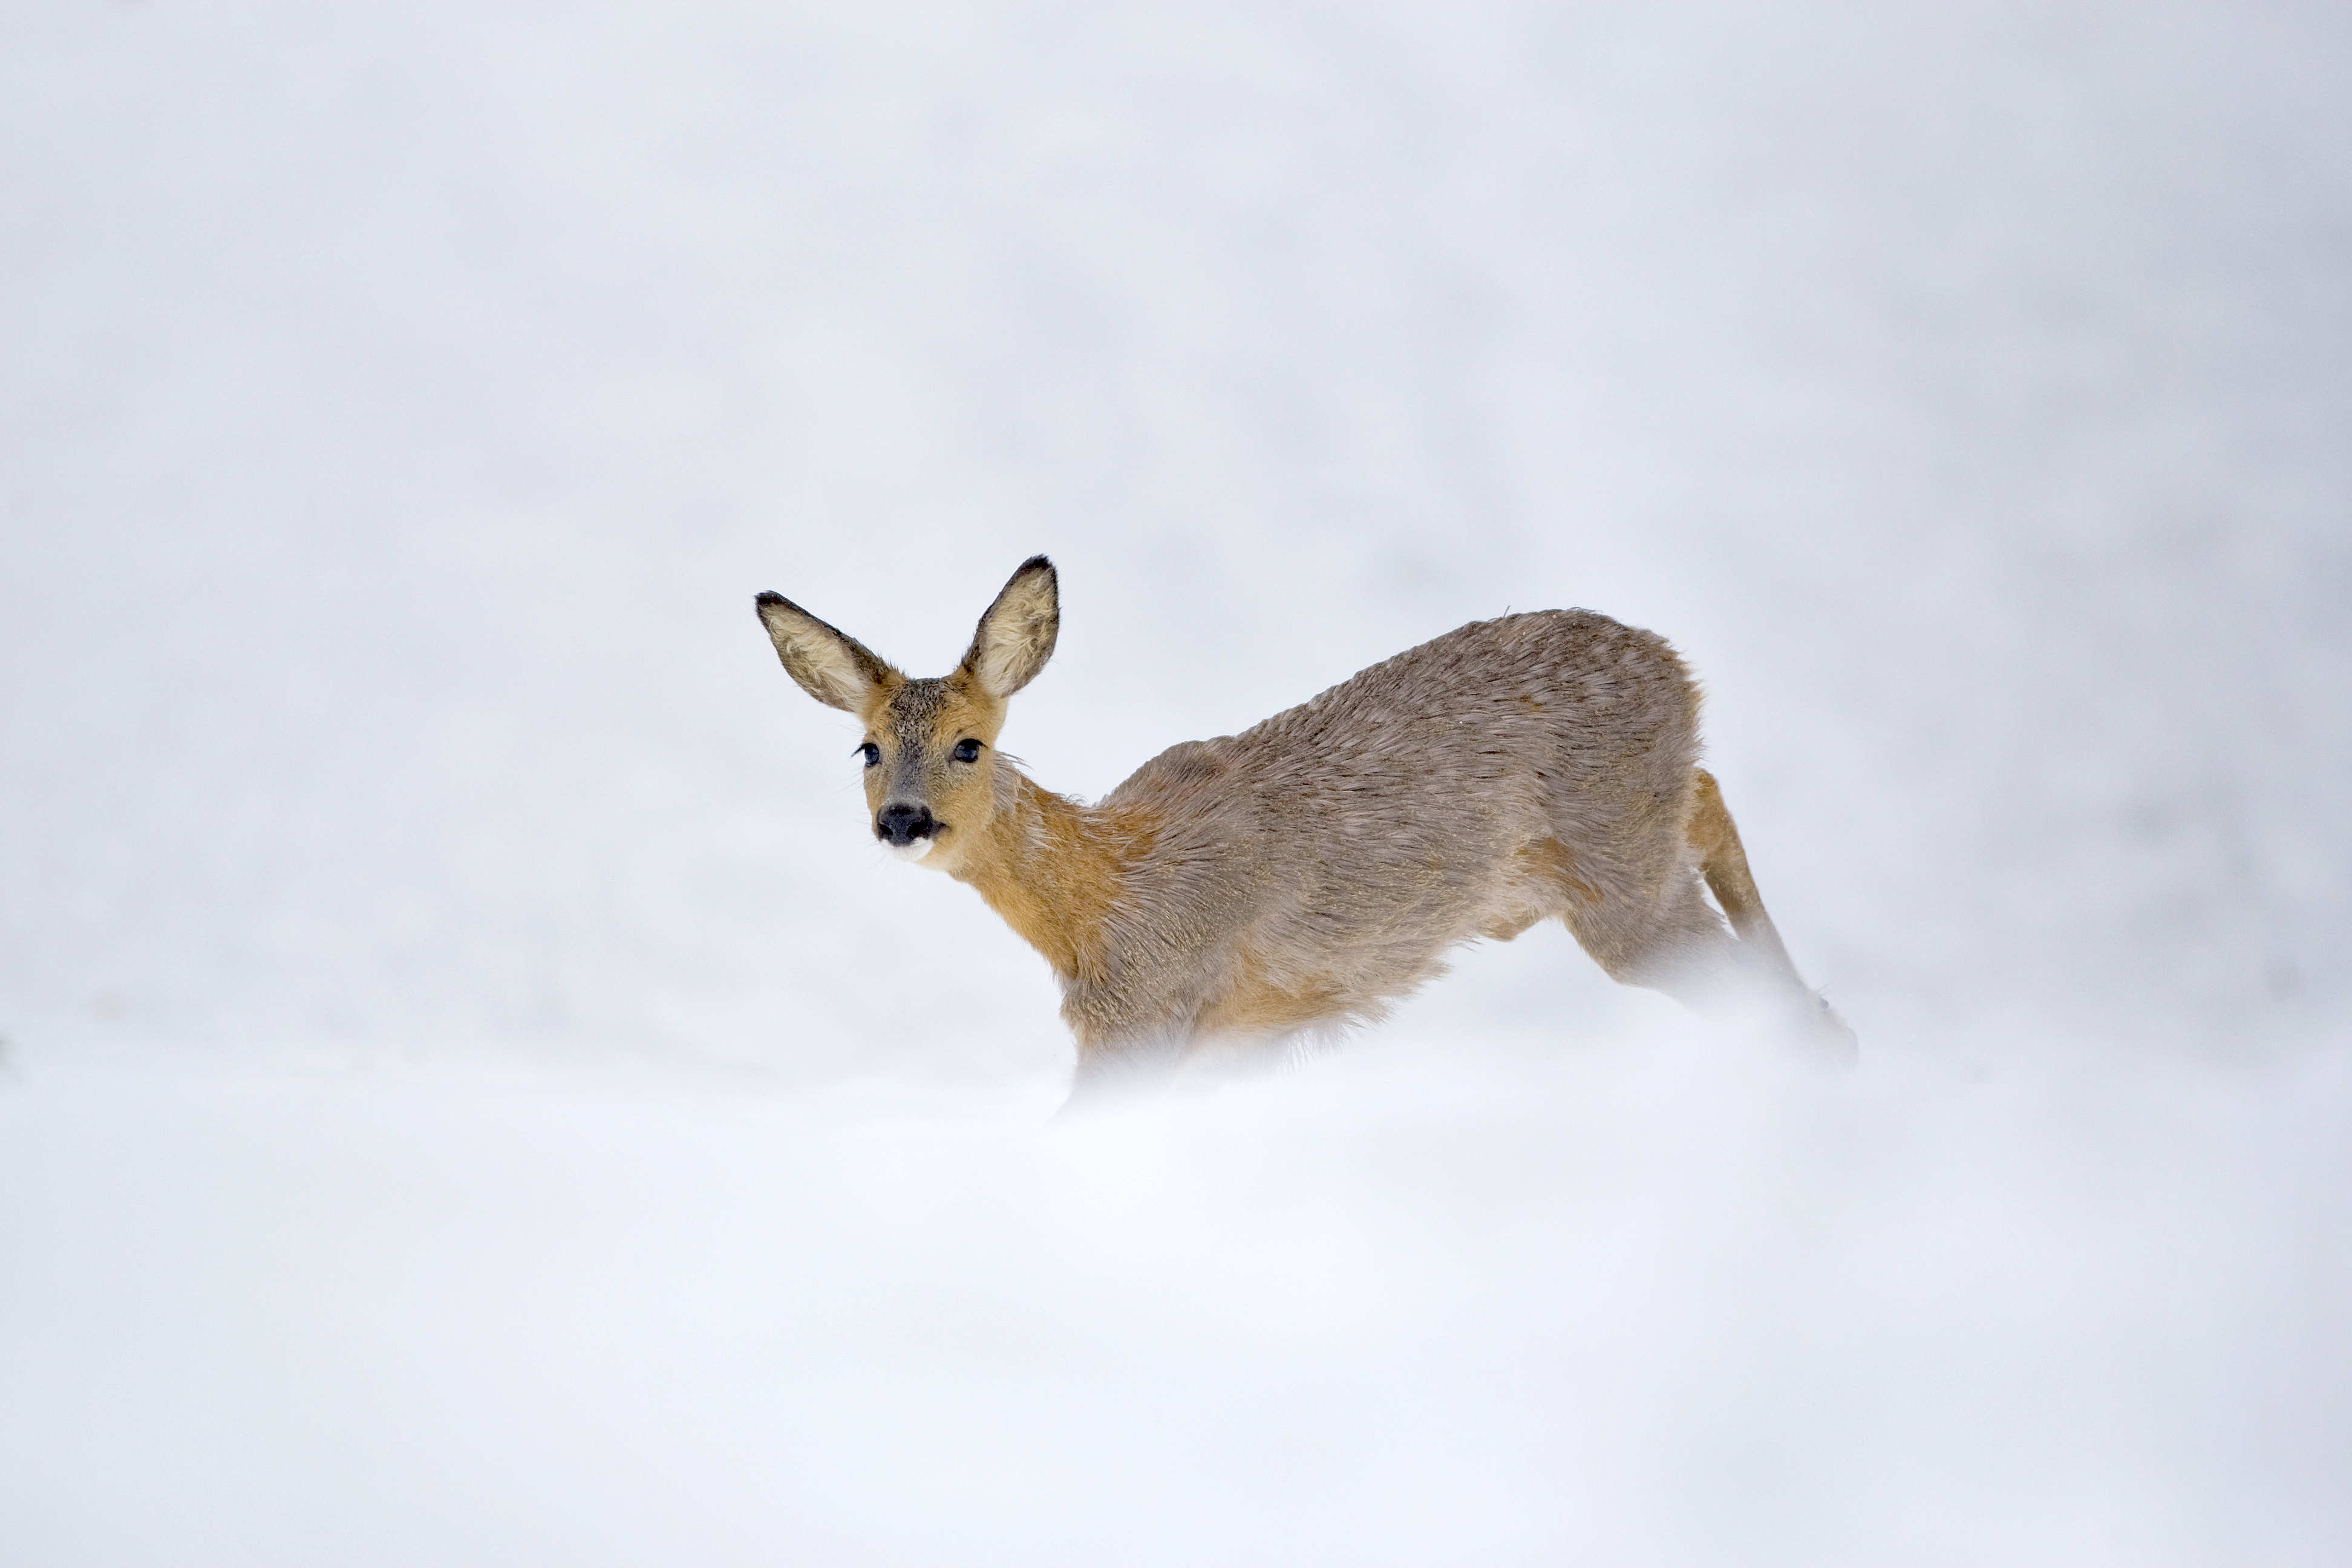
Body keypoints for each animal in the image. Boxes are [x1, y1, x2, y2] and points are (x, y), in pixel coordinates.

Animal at [755, 556, 1855, 1094]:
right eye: (865, 750)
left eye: (970, 746)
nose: (904, 821)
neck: (1099, 901)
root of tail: (1676, 665)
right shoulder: (1232, 1041)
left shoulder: (1141, 1022)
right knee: (1710, 805)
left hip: (1619, 876)